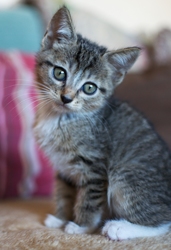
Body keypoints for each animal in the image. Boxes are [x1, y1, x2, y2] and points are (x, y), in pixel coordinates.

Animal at [33, 6, 171, 239]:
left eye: (89, 88)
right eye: (59, 73)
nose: (66, 97)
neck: (60, 119)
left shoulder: (94, 166)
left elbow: (88, 200)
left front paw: (81, 226)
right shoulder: (63, 167)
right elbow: (64, 192)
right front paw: (60, 218)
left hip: (124, 176)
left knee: (163, 221)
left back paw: (119, 228)